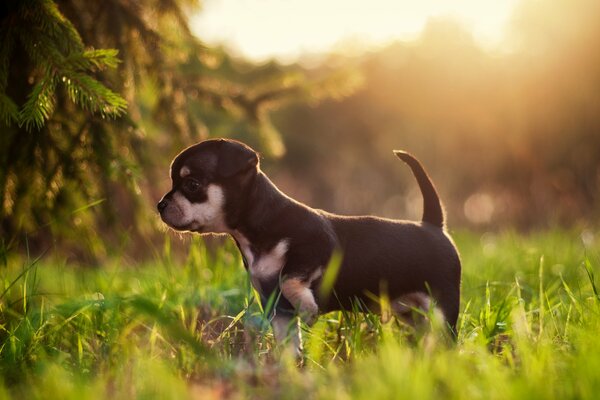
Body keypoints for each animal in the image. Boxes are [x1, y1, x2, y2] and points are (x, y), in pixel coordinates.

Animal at [157, 138, 462, 350]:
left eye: (193, 184)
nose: (160, 205)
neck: (259, 228)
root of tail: (434, 225)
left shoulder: (318, 249)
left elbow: (290, 277)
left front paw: (308, 307)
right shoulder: (278, 311)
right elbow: (288, 345)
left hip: (442, 307)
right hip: (412, 313)